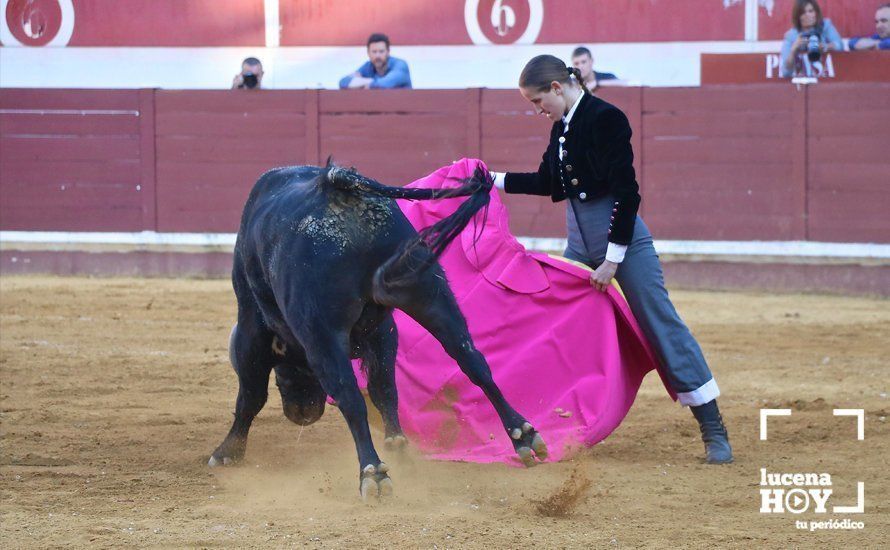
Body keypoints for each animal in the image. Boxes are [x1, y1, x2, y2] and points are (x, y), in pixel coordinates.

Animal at [208, 165, 544, 500]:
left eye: (283, 375)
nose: (302, 414)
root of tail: (339, 186)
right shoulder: (384, 331)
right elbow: (385, 388)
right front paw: (397, 443)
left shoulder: (252, 325)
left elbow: (251, 395)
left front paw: (227, 452)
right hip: (429, 293)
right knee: (472, 361)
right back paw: (524, 436)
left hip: (321, 329)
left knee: (349, 395)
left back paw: (372, 472)